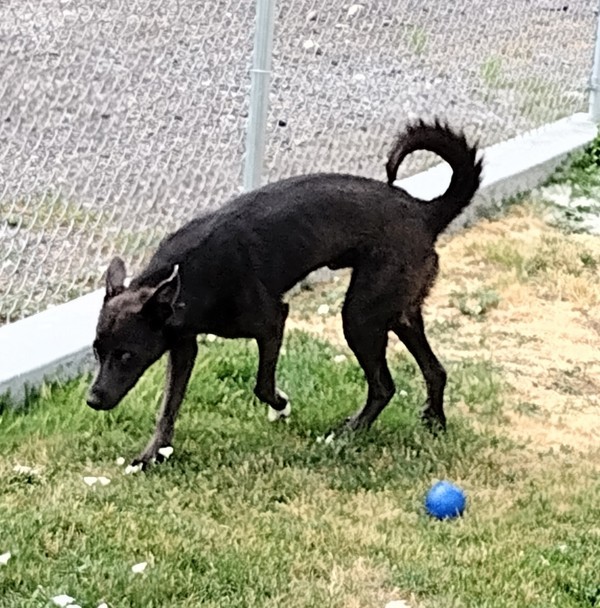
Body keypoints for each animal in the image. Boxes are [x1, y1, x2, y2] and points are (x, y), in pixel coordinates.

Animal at [88, 121, 482, 468]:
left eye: (126, 355)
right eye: (96, 352)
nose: (92, 399)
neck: (188, 275)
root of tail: (424, 211)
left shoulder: (272, 321)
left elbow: (262, 386)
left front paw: (281, 405)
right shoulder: (183, 347)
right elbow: (168, 406)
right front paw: (153, 454)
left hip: (360, 317)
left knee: (384, 386)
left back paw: (348, 433)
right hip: (399, 312)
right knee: (435, 370)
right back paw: (434, 421)